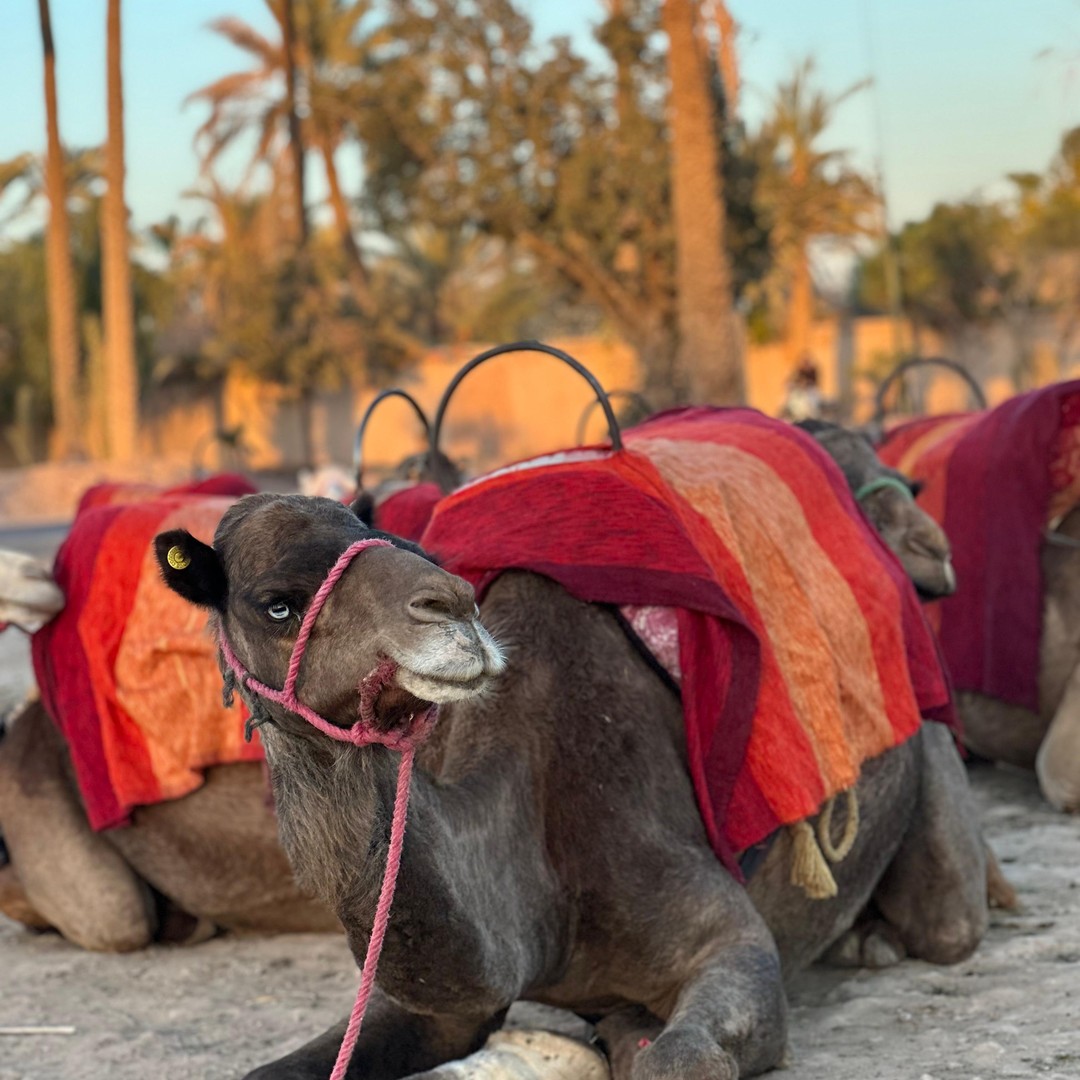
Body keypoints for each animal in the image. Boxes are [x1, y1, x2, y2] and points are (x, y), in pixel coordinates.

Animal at [155, 491, 988, 1080]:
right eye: (277, 603)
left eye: (409, 547)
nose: (451, 607)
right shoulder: (432, 1003)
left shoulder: (727, 938)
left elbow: (681, 1056)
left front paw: (631, 1031)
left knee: (948, 921)